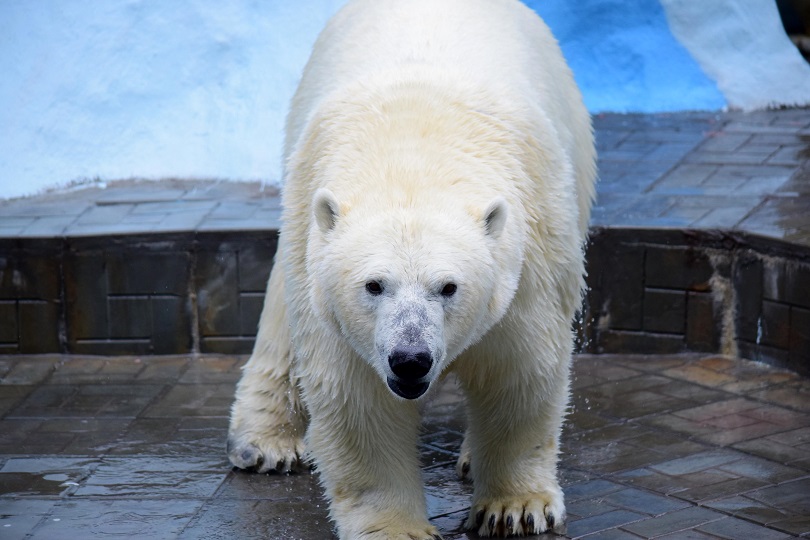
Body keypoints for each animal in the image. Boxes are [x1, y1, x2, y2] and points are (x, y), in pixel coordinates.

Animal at [227, 0, 592, 536]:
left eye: (449, 287)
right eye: (374, 285)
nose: (410, 359)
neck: (415, 158)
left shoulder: (528, 263)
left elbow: (519, 373)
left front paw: (515, 507)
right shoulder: (330, 291)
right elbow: (359, 403)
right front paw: (398, 528)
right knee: (278, 313)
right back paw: (263, 444)